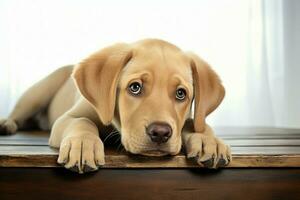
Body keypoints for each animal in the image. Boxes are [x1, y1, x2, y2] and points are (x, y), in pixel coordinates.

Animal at [0, 38, 232, 172]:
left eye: (181, 94)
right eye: (135, 87)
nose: (160, 133)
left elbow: (194, 122)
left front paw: (209, 141)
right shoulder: (66, 118)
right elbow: (81, 121)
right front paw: (83, 144)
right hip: (38, 92)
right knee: (19, 113)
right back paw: (6, 124)